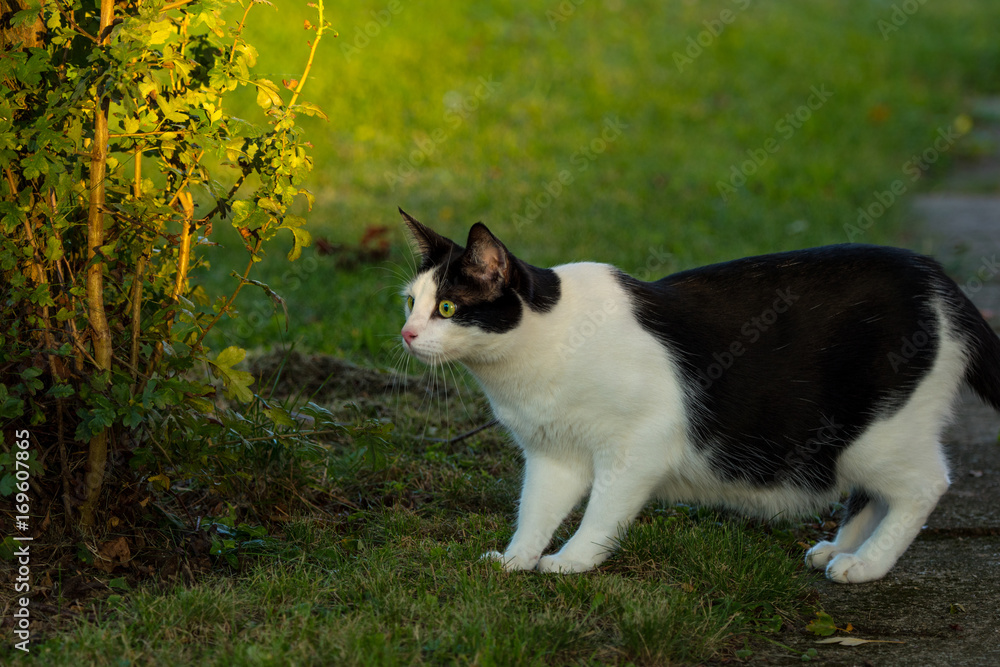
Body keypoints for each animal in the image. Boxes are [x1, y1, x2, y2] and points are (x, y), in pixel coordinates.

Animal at [396, 210, 1000, 584]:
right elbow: (536, 510)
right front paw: (517, 559)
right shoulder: (552, 454)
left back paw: (866, 564)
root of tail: (941, 282)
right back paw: (839, 549)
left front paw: (574, 561)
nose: (405, 333)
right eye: (410, 302)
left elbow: (604, 509)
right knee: (875, 491)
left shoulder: (638, 445)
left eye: (447, 307)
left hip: (880, 430)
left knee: (925, 484)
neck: (534, 357)